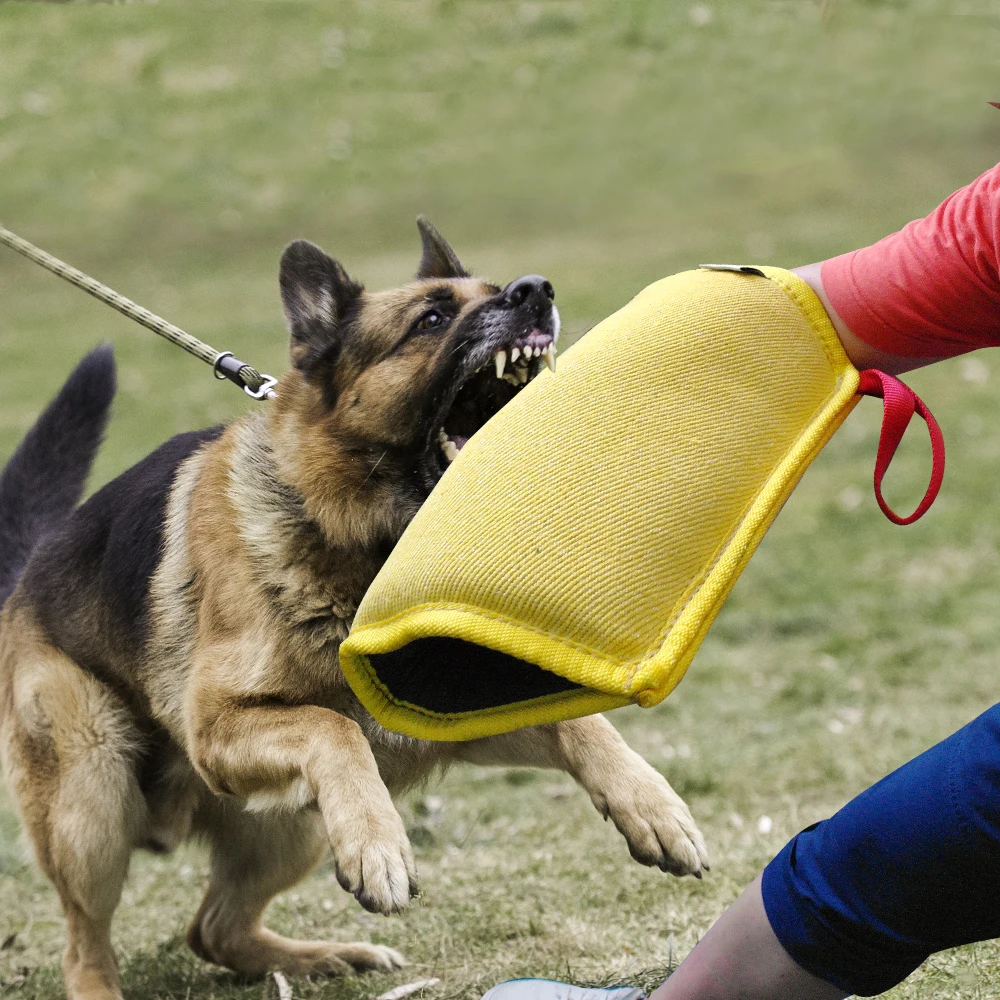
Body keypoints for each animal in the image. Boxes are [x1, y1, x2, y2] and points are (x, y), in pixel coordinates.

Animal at [0, 223, 708, 1000]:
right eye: (431, 319)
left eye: (496, 291)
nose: (536, 290)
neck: (370, 547)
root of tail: (25, 573)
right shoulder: (219, 727)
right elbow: (331, 725)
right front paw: (379, 844)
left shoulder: (446, 716)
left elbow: (583, 723)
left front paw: (652, 806)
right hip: (92, 798)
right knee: (85, 945)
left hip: (289, 827)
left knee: (213, 929)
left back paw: (325, 957)